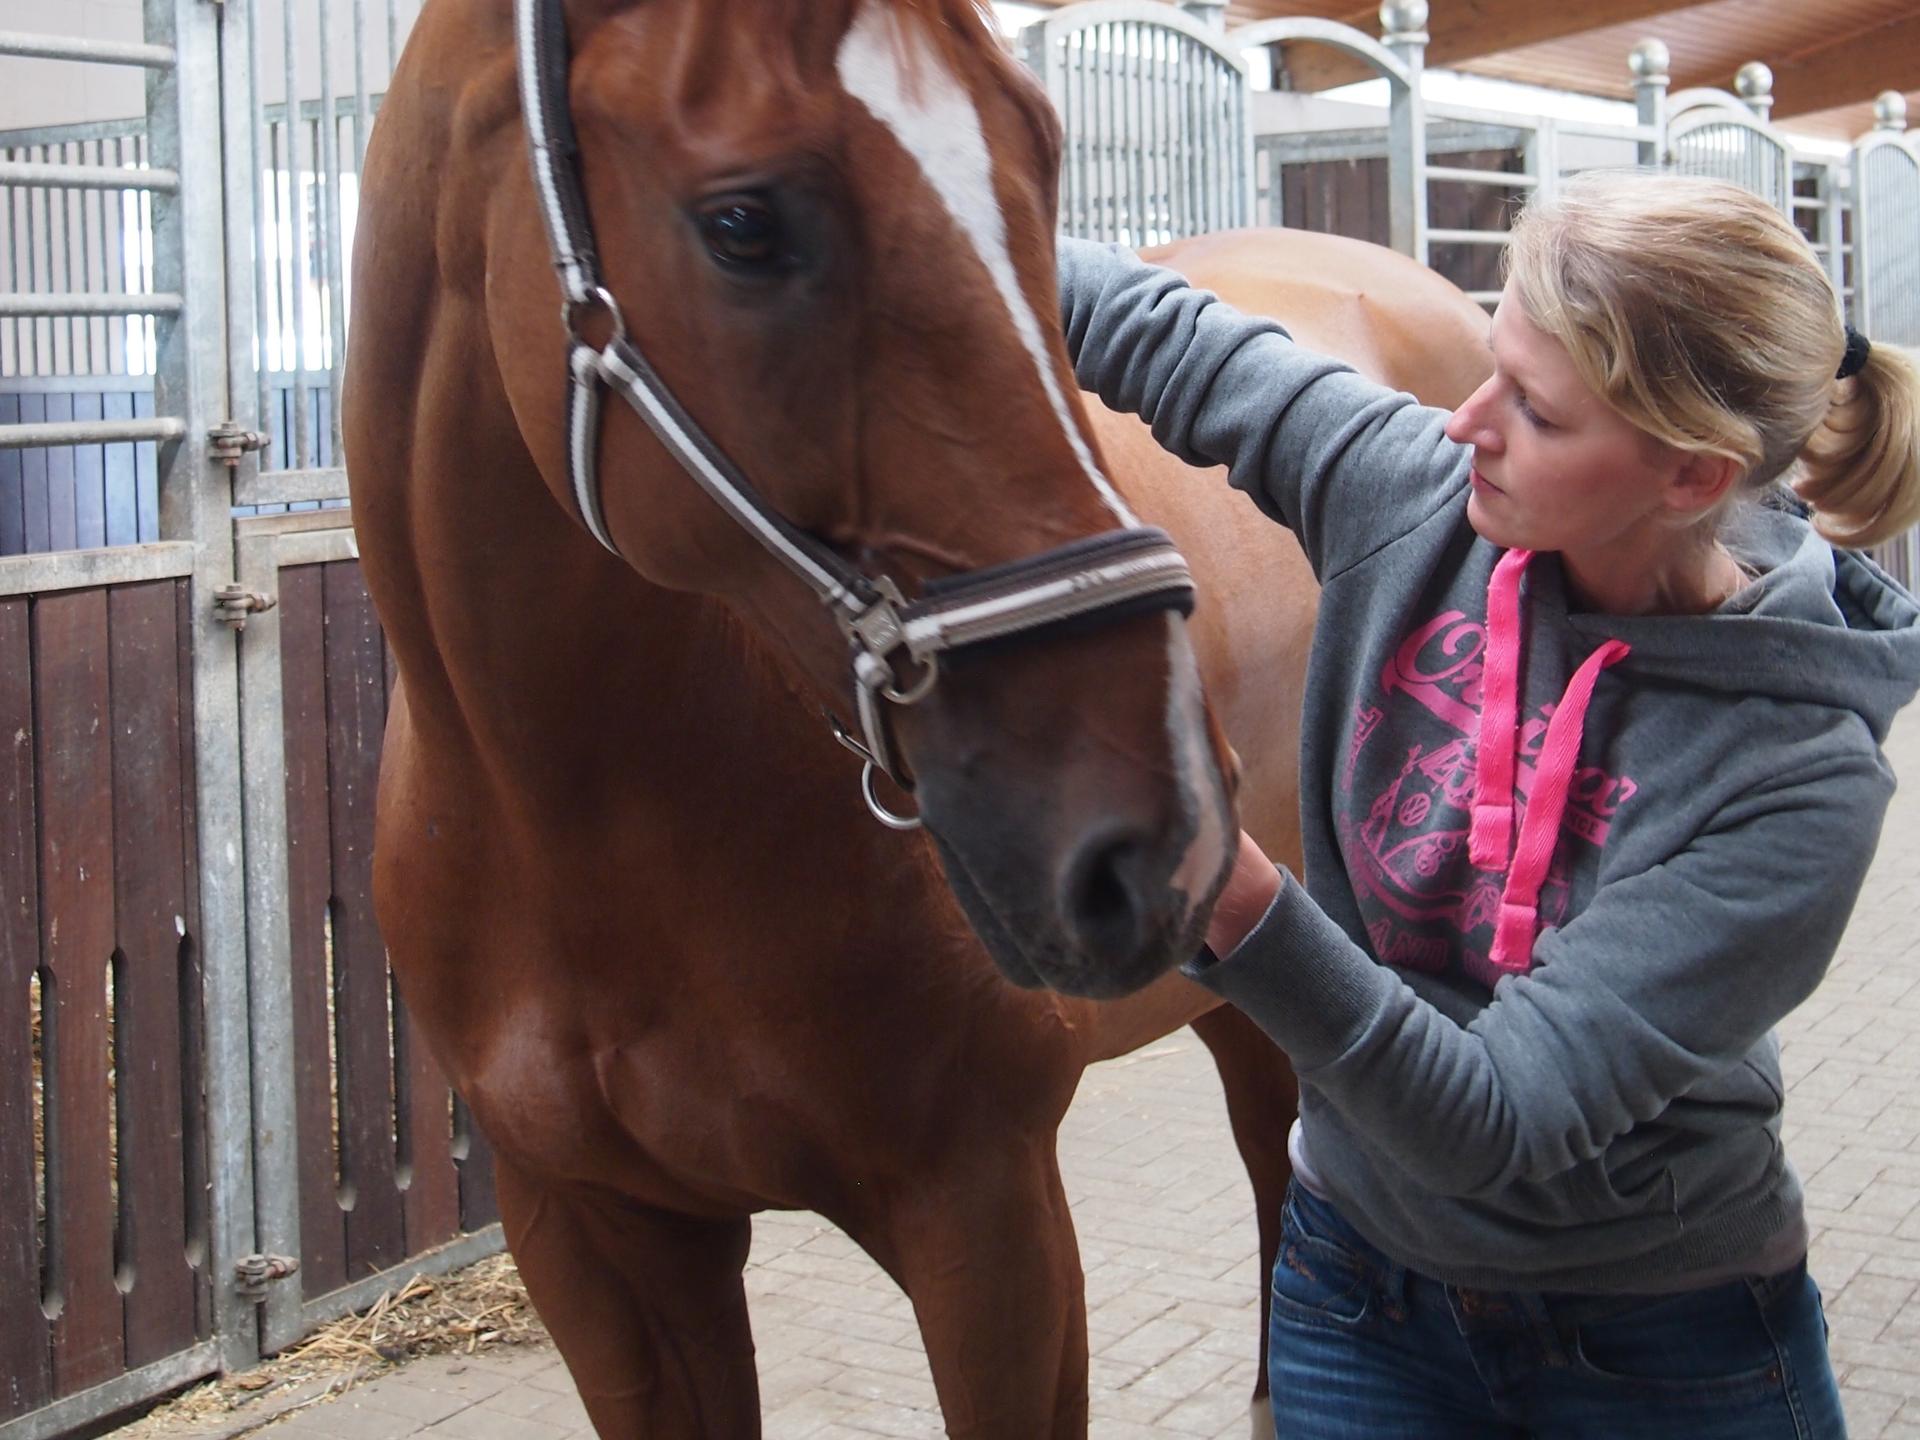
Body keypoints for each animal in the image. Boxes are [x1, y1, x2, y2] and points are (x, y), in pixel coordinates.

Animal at [342, 1, 1493, 1434]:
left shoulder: (984, 1213)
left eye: (1042, 155)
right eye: (742, 224)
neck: (577, 824)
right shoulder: (593, 1242)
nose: (1154, 822)